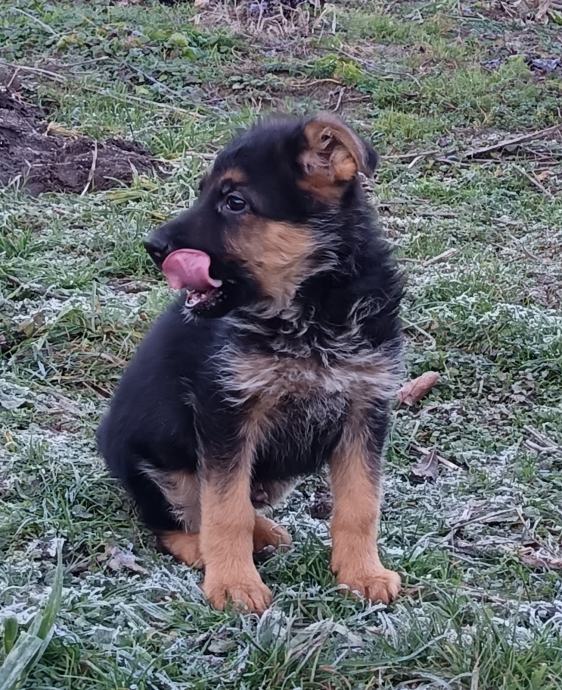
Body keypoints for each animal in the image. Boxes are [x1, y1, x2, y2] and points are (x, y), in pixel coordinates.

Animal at [97, 113, 404, 613]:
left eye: (234, 202)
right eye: (205, 192)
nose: (152, 245)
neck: (312, 311)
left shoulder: (366, 407)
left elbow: (361, 503)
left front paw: (362, 573)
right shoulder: (226, 411)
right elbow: (226, 509)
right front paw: (234, 583)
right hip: (159, 465)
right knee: (171, 518)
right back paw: (203, 549)